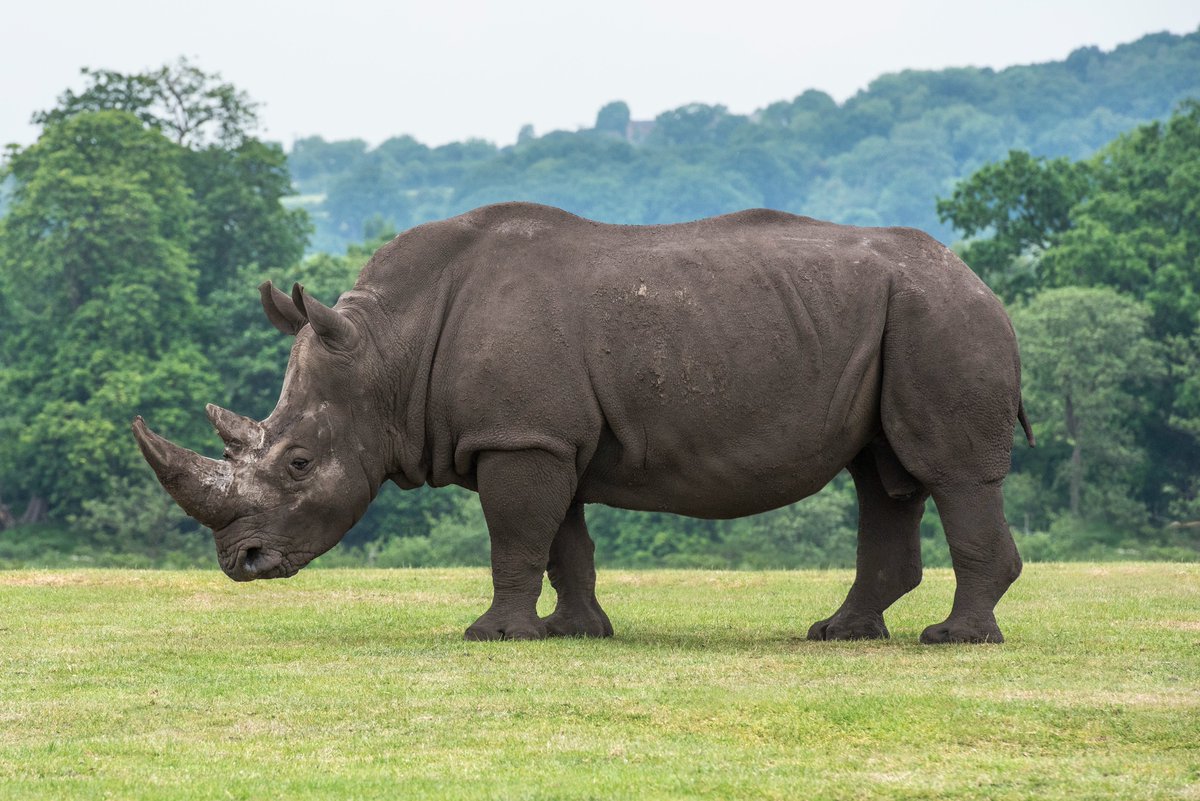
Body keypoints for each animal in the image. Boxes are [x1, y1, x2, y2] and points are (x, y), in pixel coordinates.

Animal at [133, 202, 1033, 644]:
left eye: (297, 464)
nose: (241, 564)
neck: (390, 346)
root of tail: (982, 279)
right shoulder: (540, 433)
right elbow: (562, 539)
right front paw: (576, 632)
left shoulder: (520, 435)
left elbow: (515, 536)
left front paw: (493, 636)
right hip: (906, 315)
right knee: (883, 476)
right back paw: (839, 634)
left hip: (940, 316)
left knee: (947, 471)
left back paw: (954, 640)